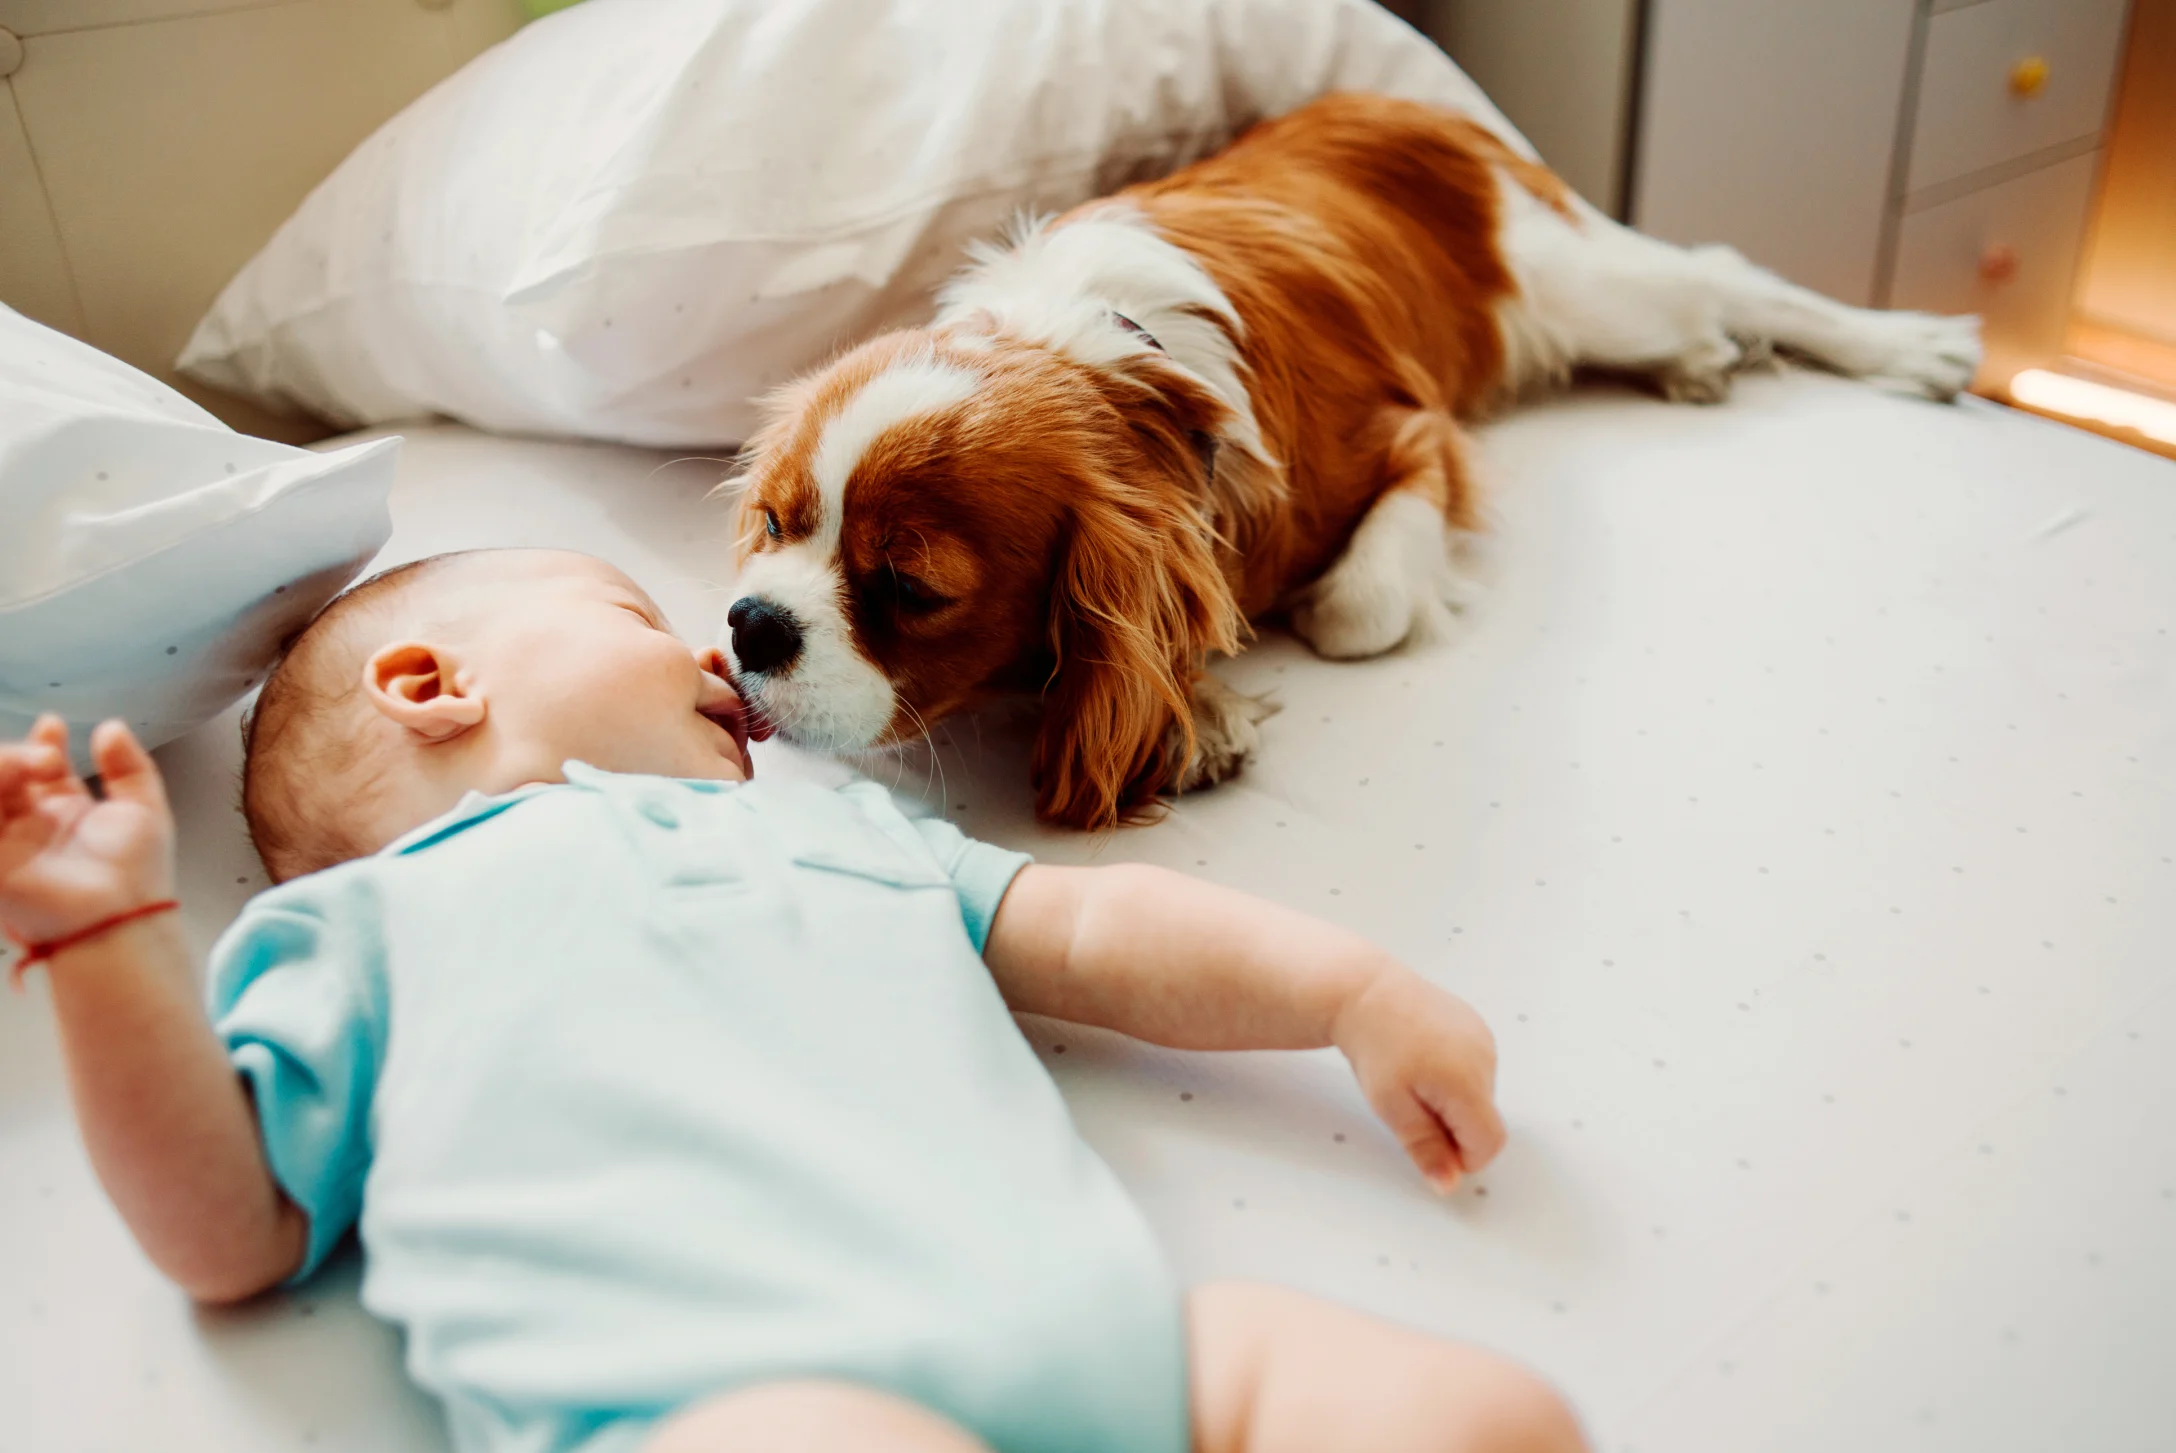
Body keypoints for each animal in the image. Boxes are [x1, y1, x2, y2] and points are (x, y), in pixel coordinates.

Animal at [722, 93, 1984, 826]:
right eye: (775, 527)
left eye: (910, 585)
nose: (750, 622)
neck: (1118, 364)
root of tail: (1397, 97)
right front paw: (1200, 703)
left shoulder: (1418, 435)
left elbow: (1354, 611)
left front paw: (1210, 687)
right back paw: (1704, 364)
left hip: (1577, 288)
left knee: (1723, 273)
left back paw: (1903, 346)